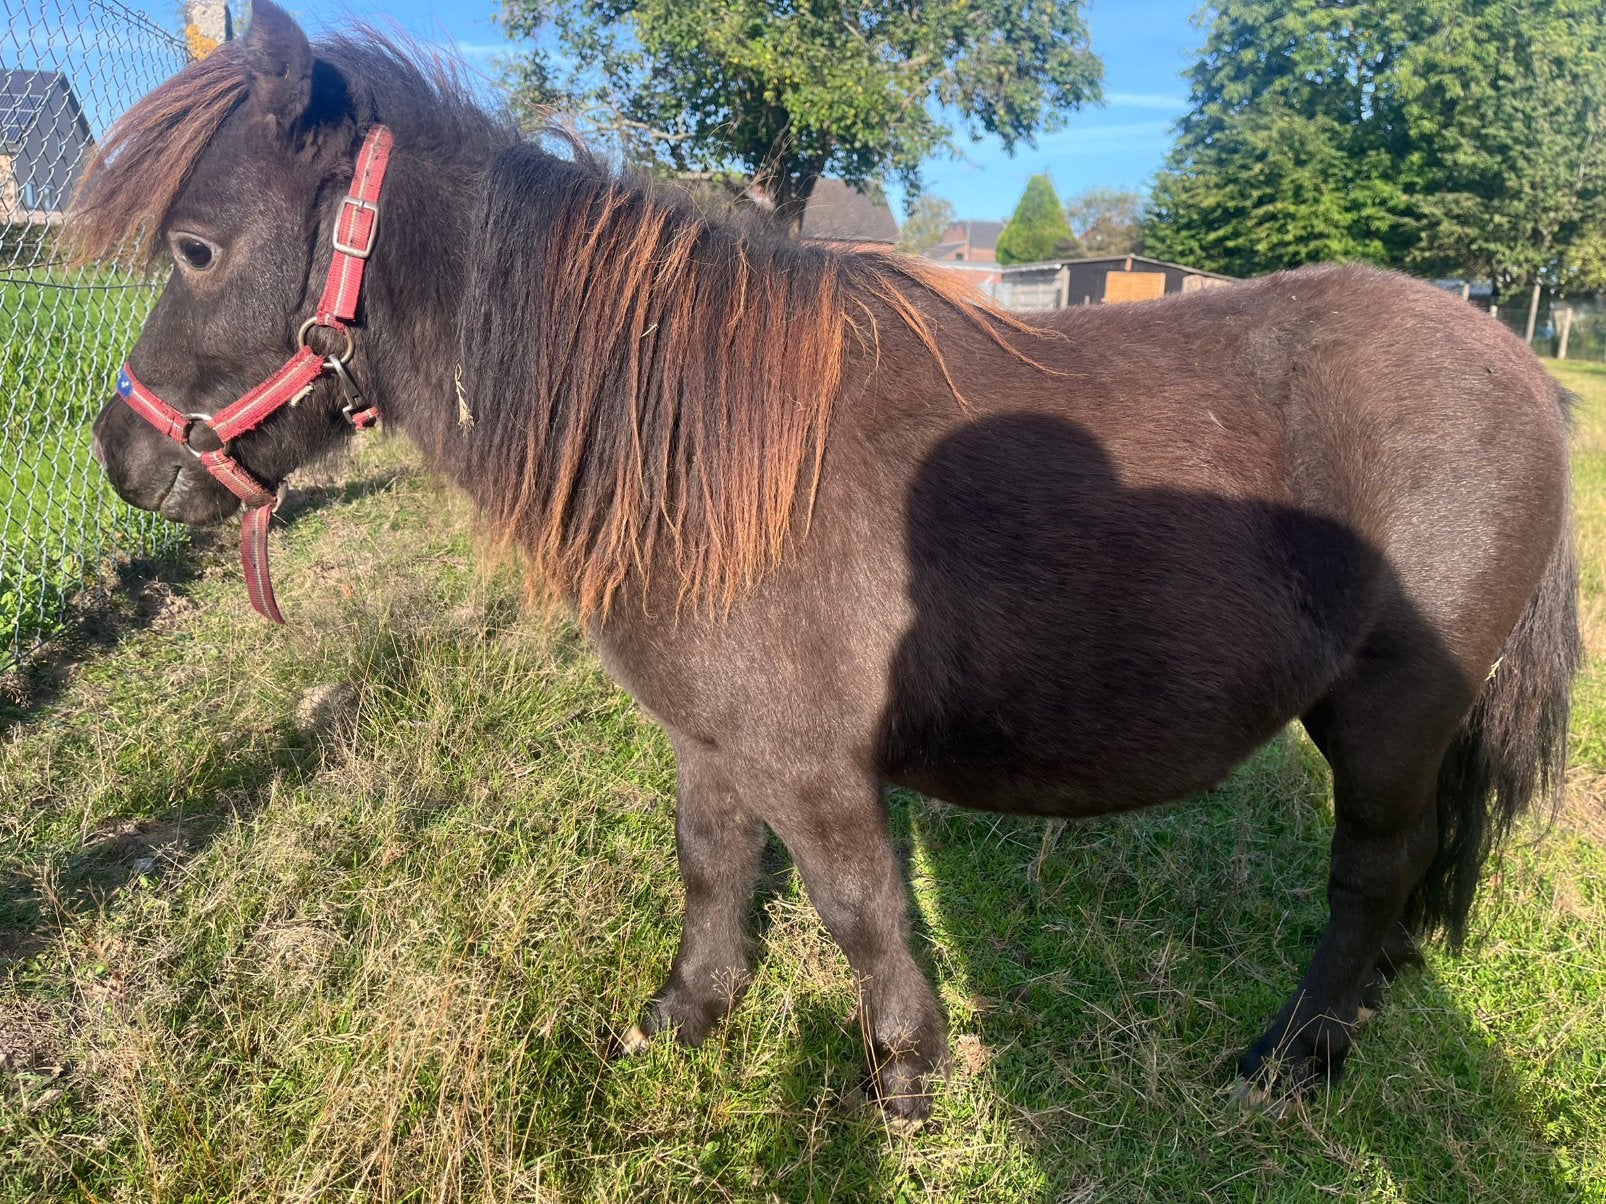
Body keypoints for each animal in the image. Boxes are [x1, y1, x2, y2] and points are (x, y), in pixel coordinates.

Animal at [70, 1, 1580, 1128]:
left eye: (196, 246)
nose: (121, 459)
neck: (693, 444)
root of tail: (1519, 364)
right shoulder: (710, 737)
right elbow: (709, 864)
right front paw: (687, 1013)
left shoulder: (813, 762)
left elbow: (861, 910)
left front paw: (902, 1075)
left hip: (1390, 710)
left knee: (1372, 871)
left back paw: (1292, 1057)